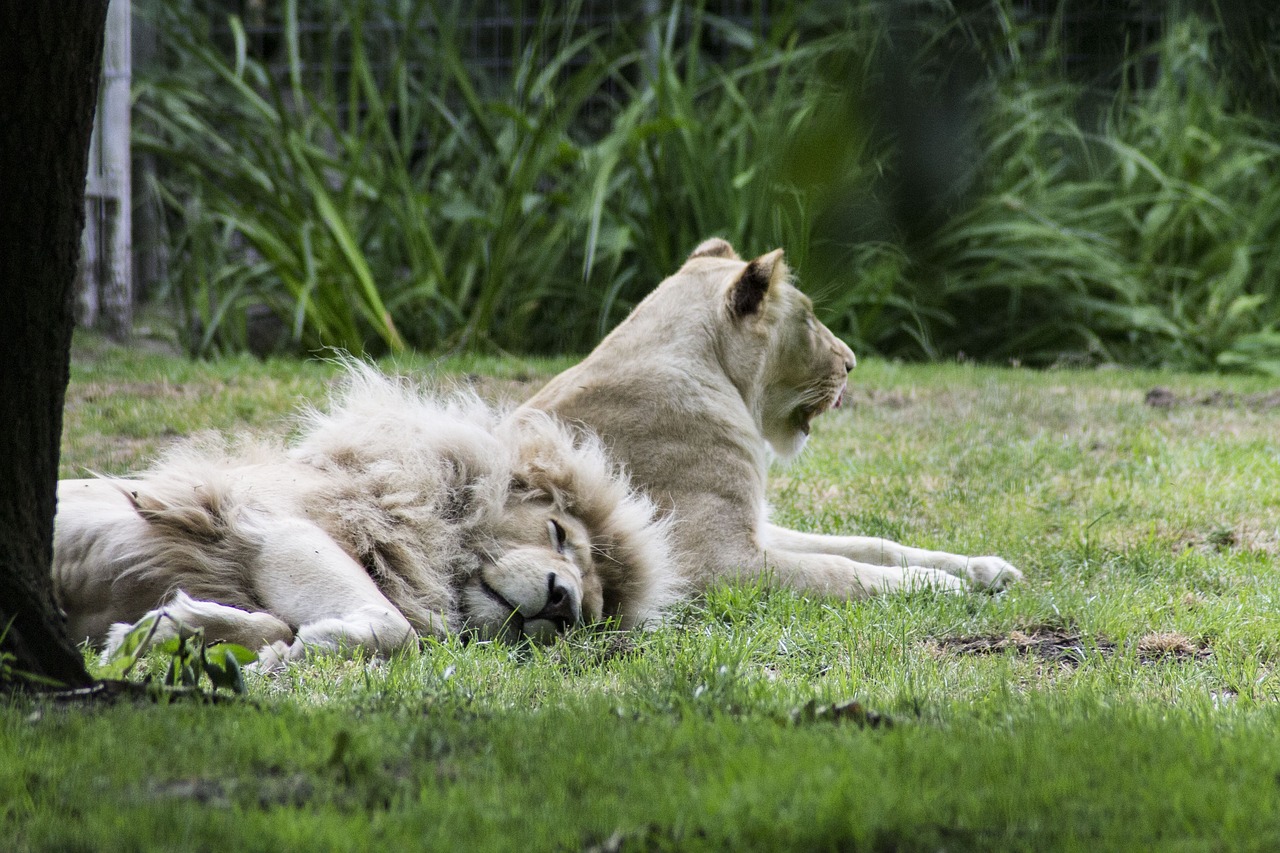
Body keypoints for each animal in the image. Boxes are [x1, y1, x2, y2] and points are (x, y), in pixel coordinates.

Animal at [519, 236, 1018, 596]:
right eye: (809, 320)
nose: (851, 362)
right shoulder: (714, 561)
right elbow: (837, 569)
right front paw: (939, 584)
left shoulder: (755, 527)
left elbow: (869, 545)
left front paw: (985, 569)